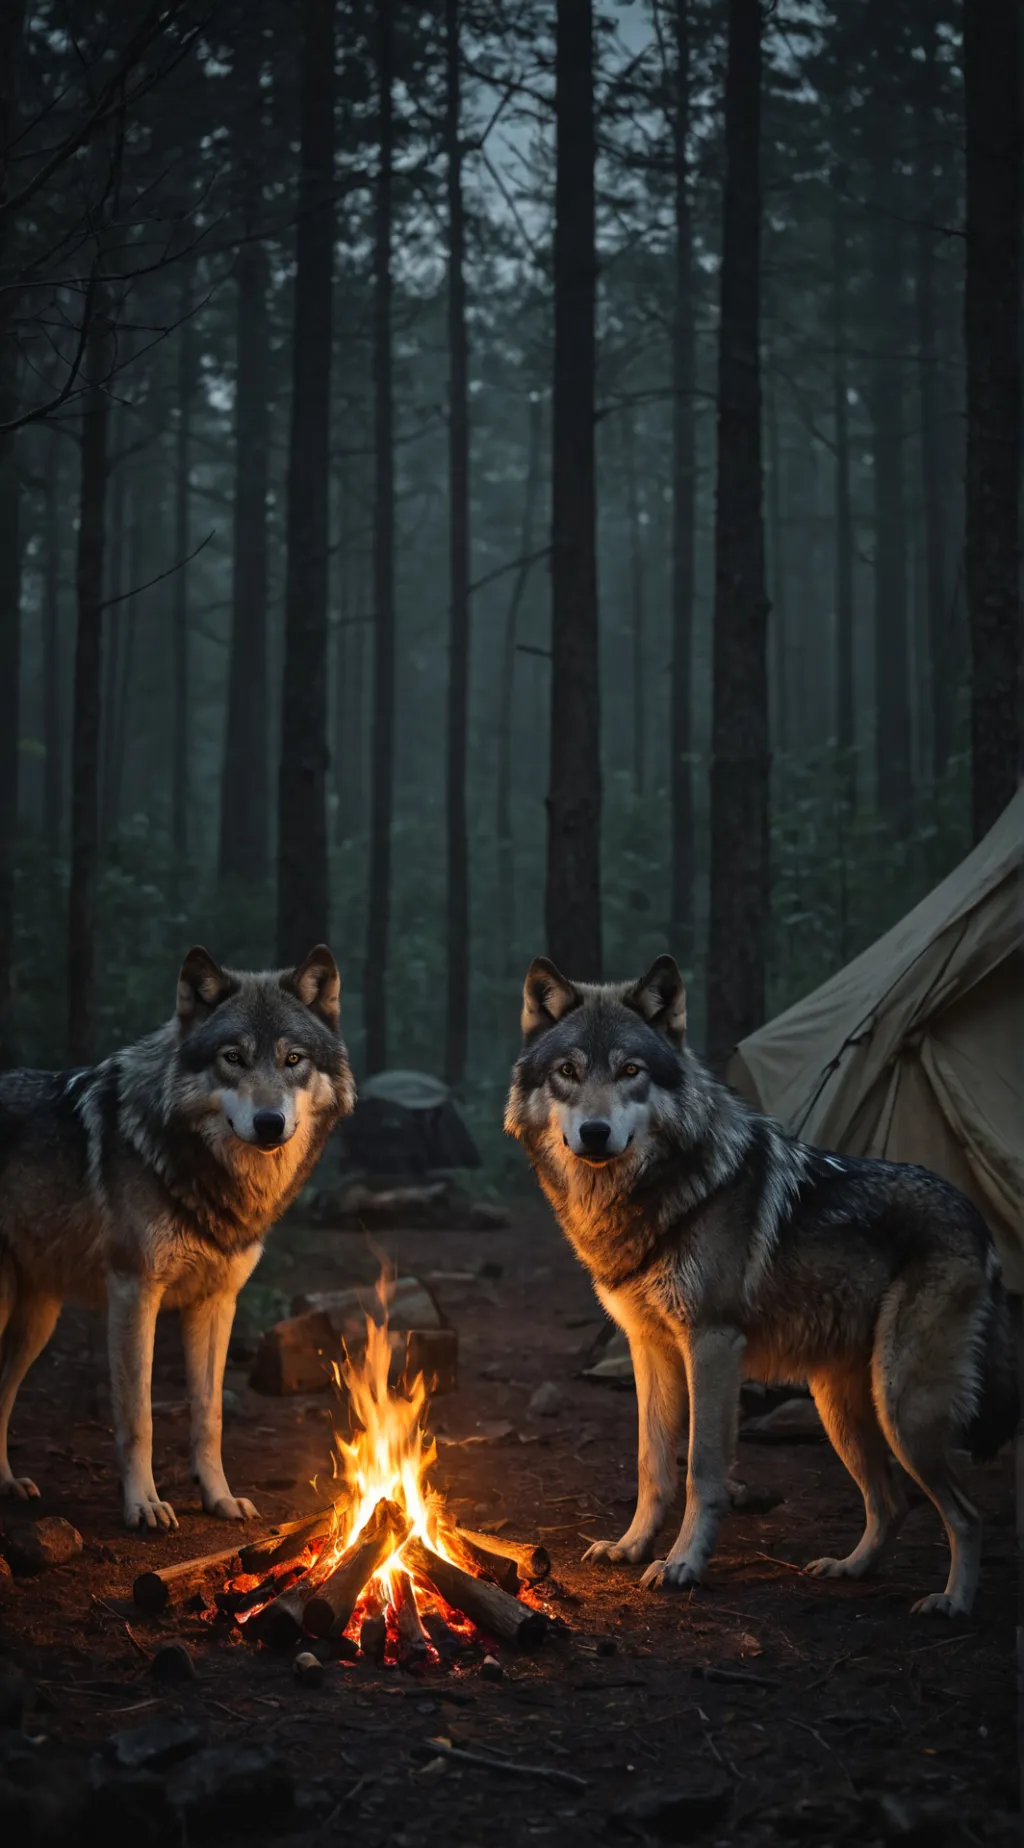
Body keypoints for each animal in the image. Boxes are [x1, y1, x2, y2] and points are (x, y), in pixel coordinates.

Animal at [0, 944, 354, 1530]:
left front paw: (219, 1498)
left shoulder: (217, 1302)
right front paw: (143, 1504)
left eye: (293, 1059)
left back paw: (7, 1483)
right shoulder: (134, 1292)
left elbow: (209, 1417)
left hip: (37, 1321)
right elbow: (138, 1416)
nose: (269, 1122)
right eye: (232, 1057)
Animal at [506, 954, 1018, 1616]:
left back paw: (953, 1600)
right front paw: (632, 1547)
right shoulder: (649, 1348)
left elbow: (701, 1469)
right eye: (567, 1072)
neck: (654, 1196)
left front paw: (683, 1565)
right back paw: (851, 1568)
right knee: (891, 1503)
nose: (595, 1132)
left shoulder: (713, 1344)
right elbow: (652, 1463)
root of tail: (975, 1216)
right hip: (840, 1407)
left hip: (903, 1406)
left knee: (966, 1513)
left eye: (630, 1071)